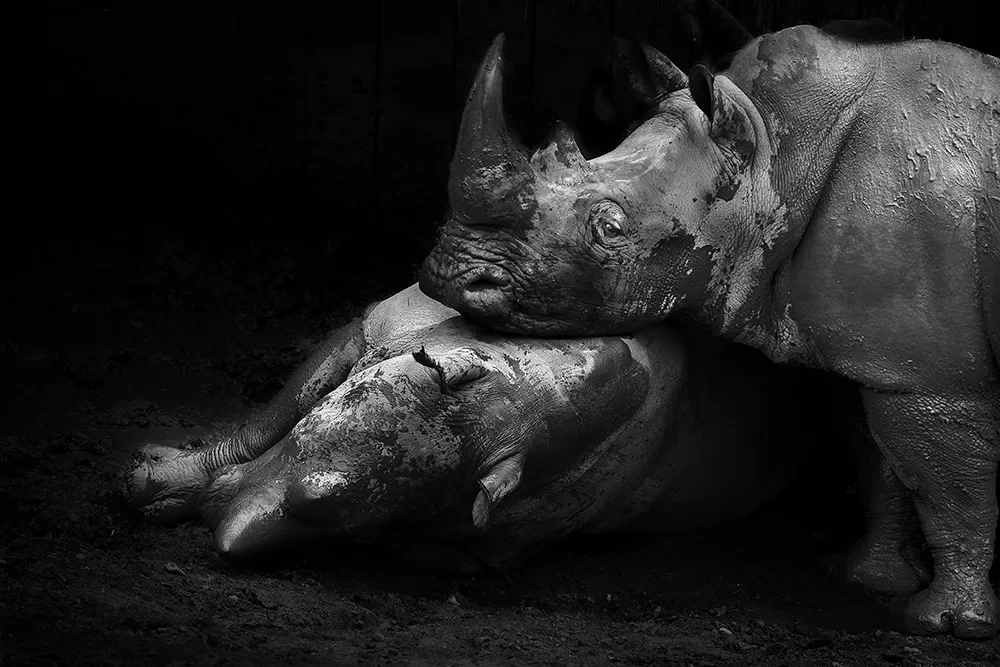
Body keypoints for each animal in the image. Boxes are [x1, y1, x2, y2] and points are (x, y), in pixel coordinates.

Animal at [127, 284, 821, 568]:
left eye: (362, 522)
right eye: (321, 429)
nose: (226, 538)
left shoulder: (491, 546)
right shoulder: (379, 324)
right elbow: (285, 403)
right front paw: (143, 481)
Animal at [419, 30, 1000, 637]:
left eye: (610, 229)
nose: (450, 276)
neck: (774, 152)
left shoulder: (930, 377)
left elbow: (947, 481)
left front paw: (949, 623)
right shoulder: (874, 353)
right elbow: (877, 458)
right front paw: (867, 580)